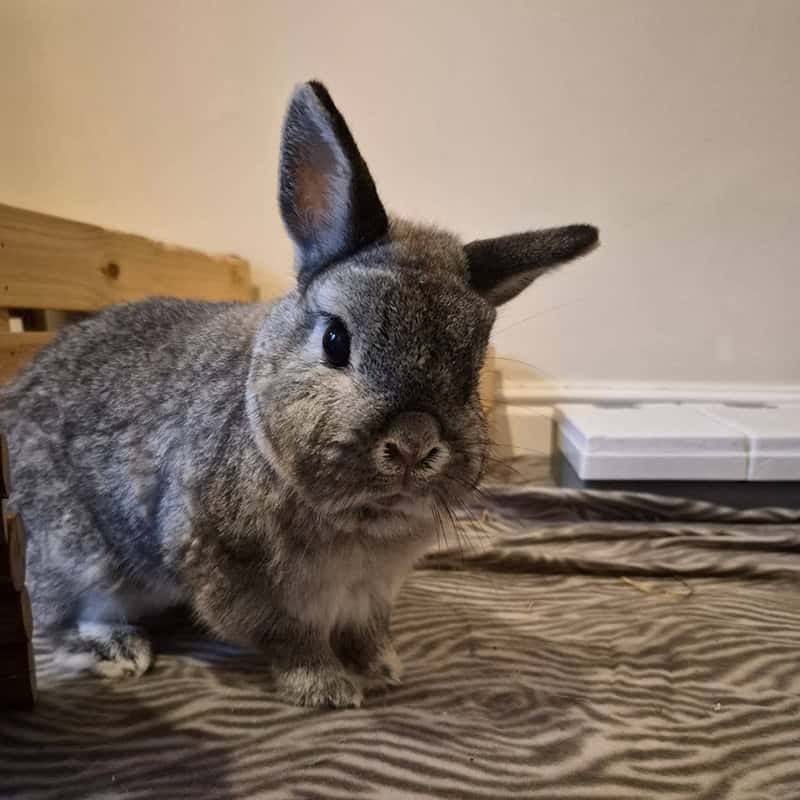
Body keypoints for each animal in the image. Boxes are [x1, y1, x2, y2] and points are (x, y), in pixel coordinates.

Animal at [0, 81, 598, 708]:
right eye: (336, 340)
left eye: (472, 369)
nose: (413, 443)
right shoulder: (240, 576)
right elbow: (292, 640)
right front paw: (328, 690)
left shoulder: (371, 591)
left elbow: (367, 631)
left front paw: (382, 668)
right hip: (78, 556)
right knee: (58, 618)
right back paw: (117, 651)